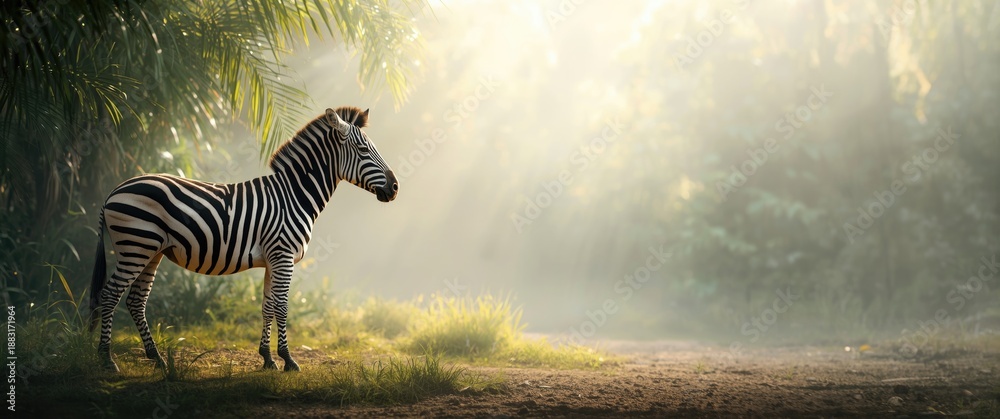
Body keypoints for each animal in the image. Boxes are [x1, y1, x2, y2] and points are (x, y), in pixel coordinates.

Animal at [88, 106, 398, 372]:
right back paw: (107, 359)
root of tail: (113, 191)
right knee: (110, 294)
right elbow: (282, 306)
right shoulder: (284, 256)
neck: (294, 195)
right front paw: (288, 360)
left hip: (150, 251)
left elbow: (267, 306)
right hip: (136, 247)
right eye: (363, 149)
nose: (395, 187)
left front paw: (268, 359)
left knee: (135, 300)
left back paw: (156, 358)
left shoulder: (273, 260)